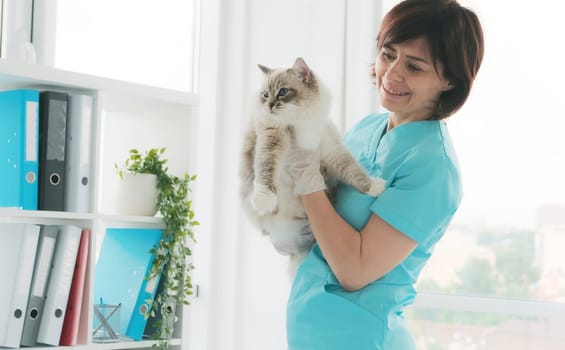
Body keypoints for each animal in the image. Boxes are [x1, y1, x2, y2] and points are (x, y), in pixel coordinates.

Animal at [240, 57, 386, 274]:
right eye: (265, 95)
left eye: (283, 91)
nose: (270, 105)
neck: (300, 122)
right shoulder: (271, 138)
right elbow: (266, 169)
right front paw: (265, 200)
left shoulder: (330, 149)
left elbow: (354, 171)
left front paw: (374, 187)